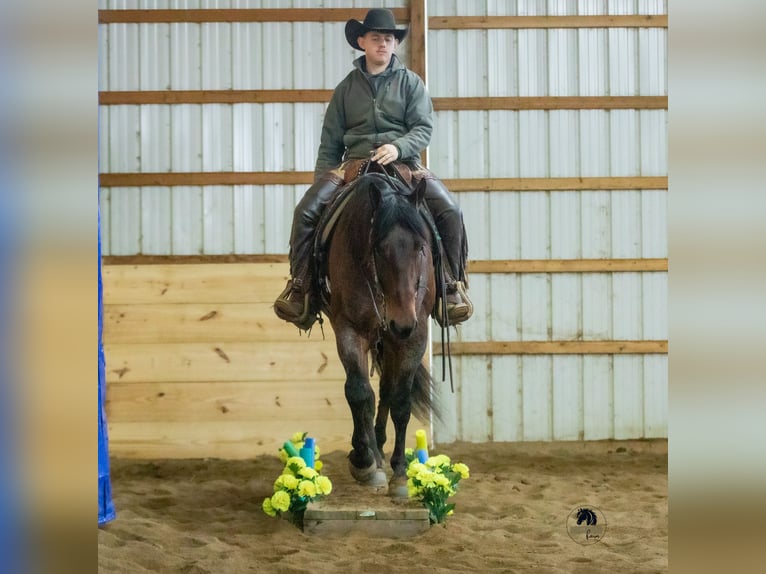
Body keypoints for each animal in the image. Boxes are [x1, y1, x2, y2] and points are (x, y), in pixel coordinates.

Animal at [317, 168, 438, 497]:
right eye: (379, 248)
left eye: (420, 247)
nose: (401, 322)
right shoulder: (349, 328)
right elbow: (359, 392)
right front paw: (363, 462)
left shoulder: (415, 335)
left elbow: (400, 400)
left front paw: (399, 474)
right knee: (371, 393)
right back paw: (371, 454)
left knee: (386, 390)